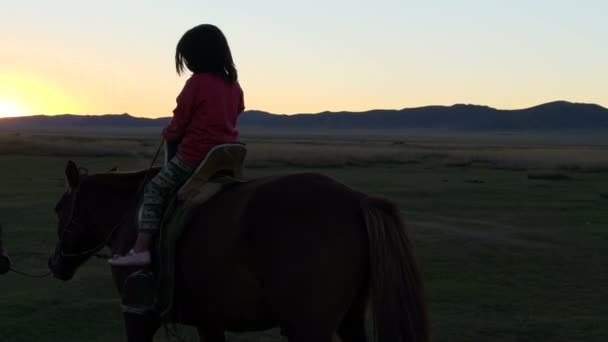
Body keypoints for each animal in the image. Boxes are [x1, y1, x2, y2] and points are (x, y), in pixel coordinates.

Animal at [48, 160, 428, 342]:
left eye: (59, 208)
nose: (54, 264)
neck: (131, 213)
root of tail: (357, 201)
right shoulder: (209, 321)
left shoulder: (137, 317)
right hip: (349, 319)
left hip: (309, 328)